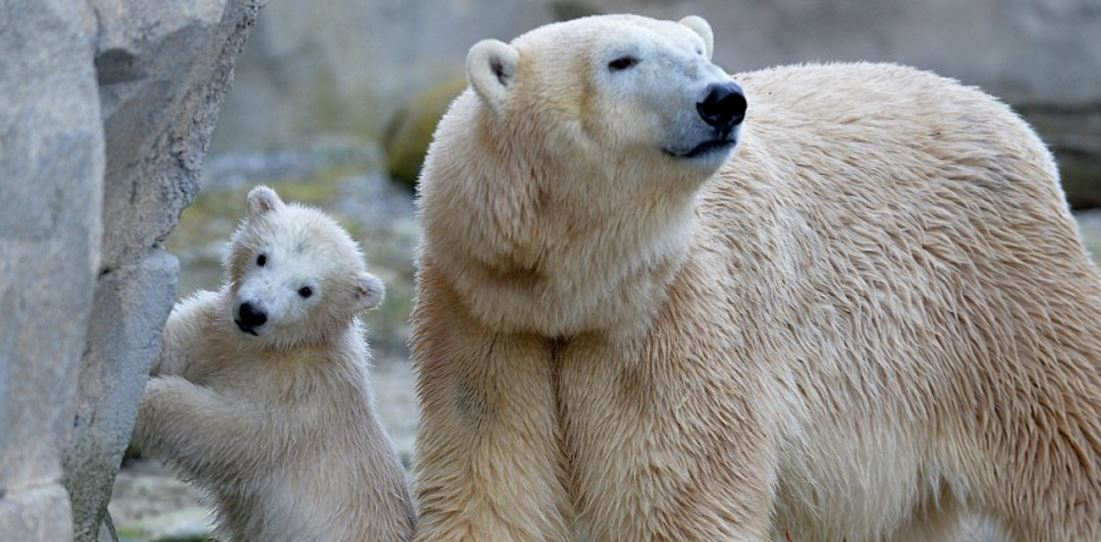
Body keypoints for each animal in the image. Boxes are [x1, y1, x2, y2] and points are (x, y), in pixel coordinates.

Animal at [133, 186, 413, 542]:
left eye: (306, 290)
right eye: (262, 257)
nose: (253, 312)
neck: (277, 346)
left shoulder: (298, 393)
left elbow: (228, 429)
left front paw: (145, 399)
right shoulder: (217, 331)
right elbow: (175, 344)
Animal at [411, 11, 1101, 542]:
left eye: (698, 51)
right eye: (621, 60)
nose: (724, 99)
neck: (573, 299)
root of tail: (1011, 118)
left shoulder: (676, 323)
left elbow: (679, 496)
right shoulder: (487, 327)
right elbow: (488, 488)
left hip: (1003, 313)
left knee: (1069, 450)